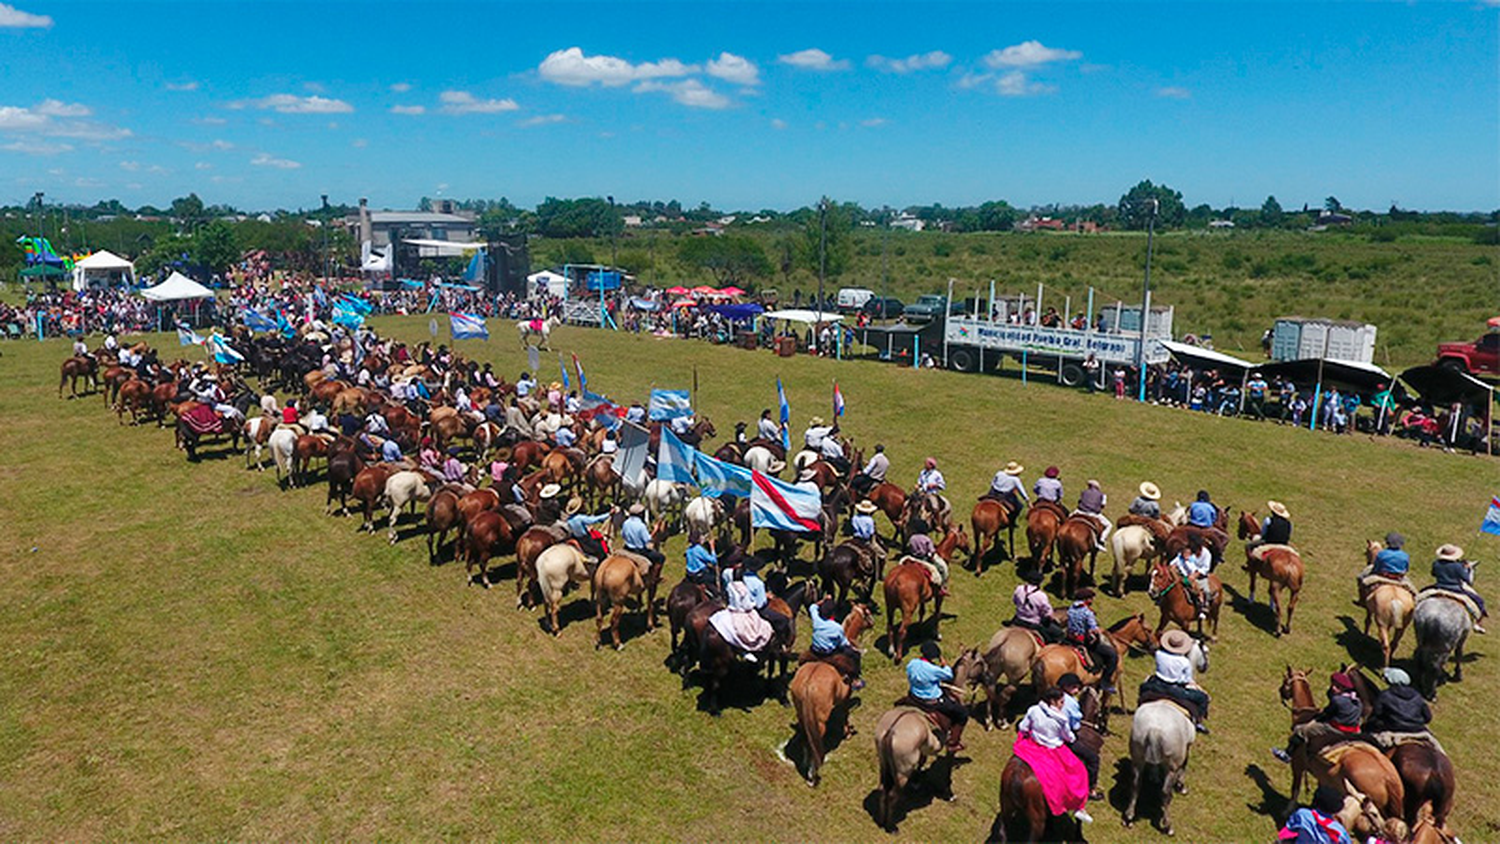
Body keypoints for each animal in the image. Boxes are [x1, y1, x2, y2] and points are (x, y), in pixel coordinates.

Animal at [786, 605, 876, 791]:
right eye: (868, 614)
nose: (873, 623)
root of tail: (808, 684)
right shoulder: (846, 697)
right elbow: (845, 715)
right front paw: (847, 732)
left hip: (801, 712)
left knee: (806, 737)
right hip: (819, 722)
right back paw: (813, 775)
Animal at [1278, 668, 1404, 827]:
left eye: (1284, 679)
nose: (1280, 691)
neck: (1305, 716)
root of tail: (1389, 778)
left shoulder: (1298, 765)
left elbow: (1295, 788)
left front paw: (1287, 811)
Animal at [1362, 539, 1416, 671]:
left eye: (1366, 551)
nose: (1368, 562)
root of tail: (1395, 600)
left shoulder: (1369, 610)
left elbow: (1367, 621)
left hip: (1382, 624)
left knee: (1386, 646)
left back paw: (1384, 669)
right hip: (1402, 627)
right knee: (1394, 644)